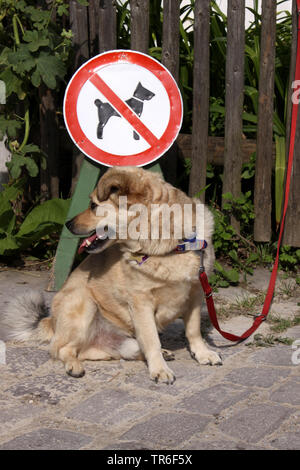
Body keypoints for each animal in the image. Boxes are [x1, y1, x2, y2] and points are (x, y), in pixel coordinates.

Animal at [1, 167, 221, 384]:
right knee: (61, 349)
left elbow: (193, 330)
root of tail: (51, 321)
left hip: (121, 341)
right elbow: (152, 339)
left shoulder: (195, 295)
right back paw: (74, 366)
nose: (68, 224)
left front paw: (202, 353)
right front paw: (159, 369)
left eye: (93, 205)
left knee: (103, 351)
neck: (171, 246)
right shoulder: (141, 303)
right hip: (84, 303)